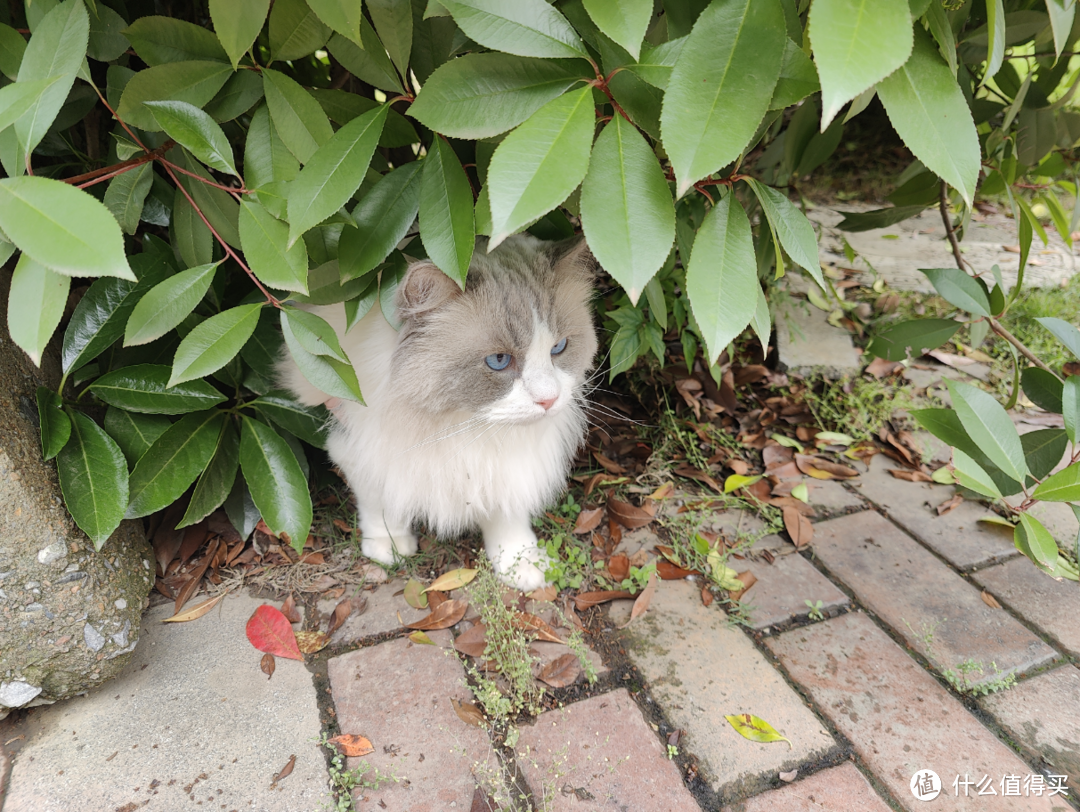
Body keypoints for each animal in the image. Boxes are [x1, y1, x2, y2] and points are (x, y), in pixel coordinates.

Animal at [278, 234, 600, 591]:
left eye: (559, 348)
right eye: (499, 360)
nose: (549, 399)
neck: (462, 427)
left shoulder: (508, 466)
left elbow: (508, 515)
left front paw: (521, 562)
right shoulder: (362, 447)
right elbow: (381, 504)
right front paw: (389, 546)